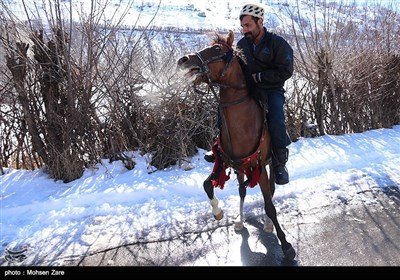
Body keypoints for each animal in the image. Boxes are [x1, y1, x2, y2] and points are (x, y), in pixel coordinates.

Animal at [177, 30, 296, 260]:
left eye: (217, 49)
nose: (183, 60)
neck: (242, 123)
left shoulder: (259, 165)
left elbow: (270, 205)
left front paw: (286, 246)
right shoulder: (225, 161)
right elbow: (207, 185)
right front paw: (218, 212)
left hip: (268, 164)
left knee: (271, 188)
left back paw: (268, 224)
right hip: (241, 167)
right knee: (242, 190)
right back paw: (240, 222)